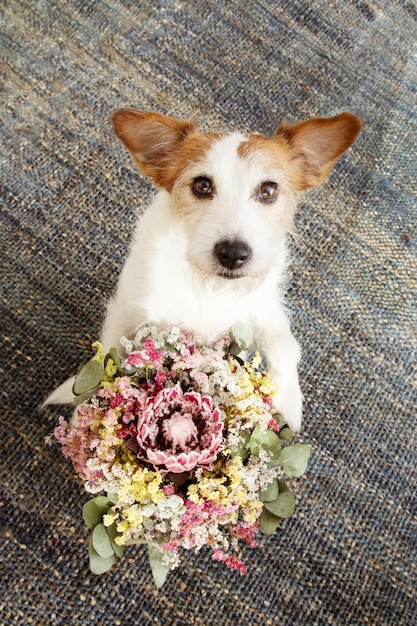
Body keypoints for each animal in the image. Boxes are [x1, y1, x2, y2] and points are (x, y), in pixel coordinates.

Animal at [47, 107, 360, 432]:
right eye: (202, 185)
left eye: (268, 190)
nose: (232, 254)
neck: (208, 286)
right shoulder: (126, 312)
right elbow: (106, 362)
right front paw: (84, 416)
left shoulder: (263, 306)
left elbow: (284, 343)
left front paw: (288, 401)